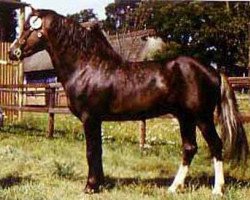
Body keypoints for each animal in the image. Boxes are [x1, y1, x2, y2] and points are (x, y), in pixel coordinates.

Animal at [8, 8, 248, 195]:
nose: (12, 52)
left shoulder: (90, 118)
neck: (87, 66)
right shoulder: (97, 120)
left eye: (29, 28)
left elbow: (91, 151)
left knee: (216, 145)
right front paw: (100, 184)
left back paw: (217, 189)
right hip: (185, 118)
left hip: (202, 117)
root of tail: (213, 71)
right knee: (189, 148)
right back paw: (173, 187)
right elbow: (98, 150)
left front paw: (90, 186)